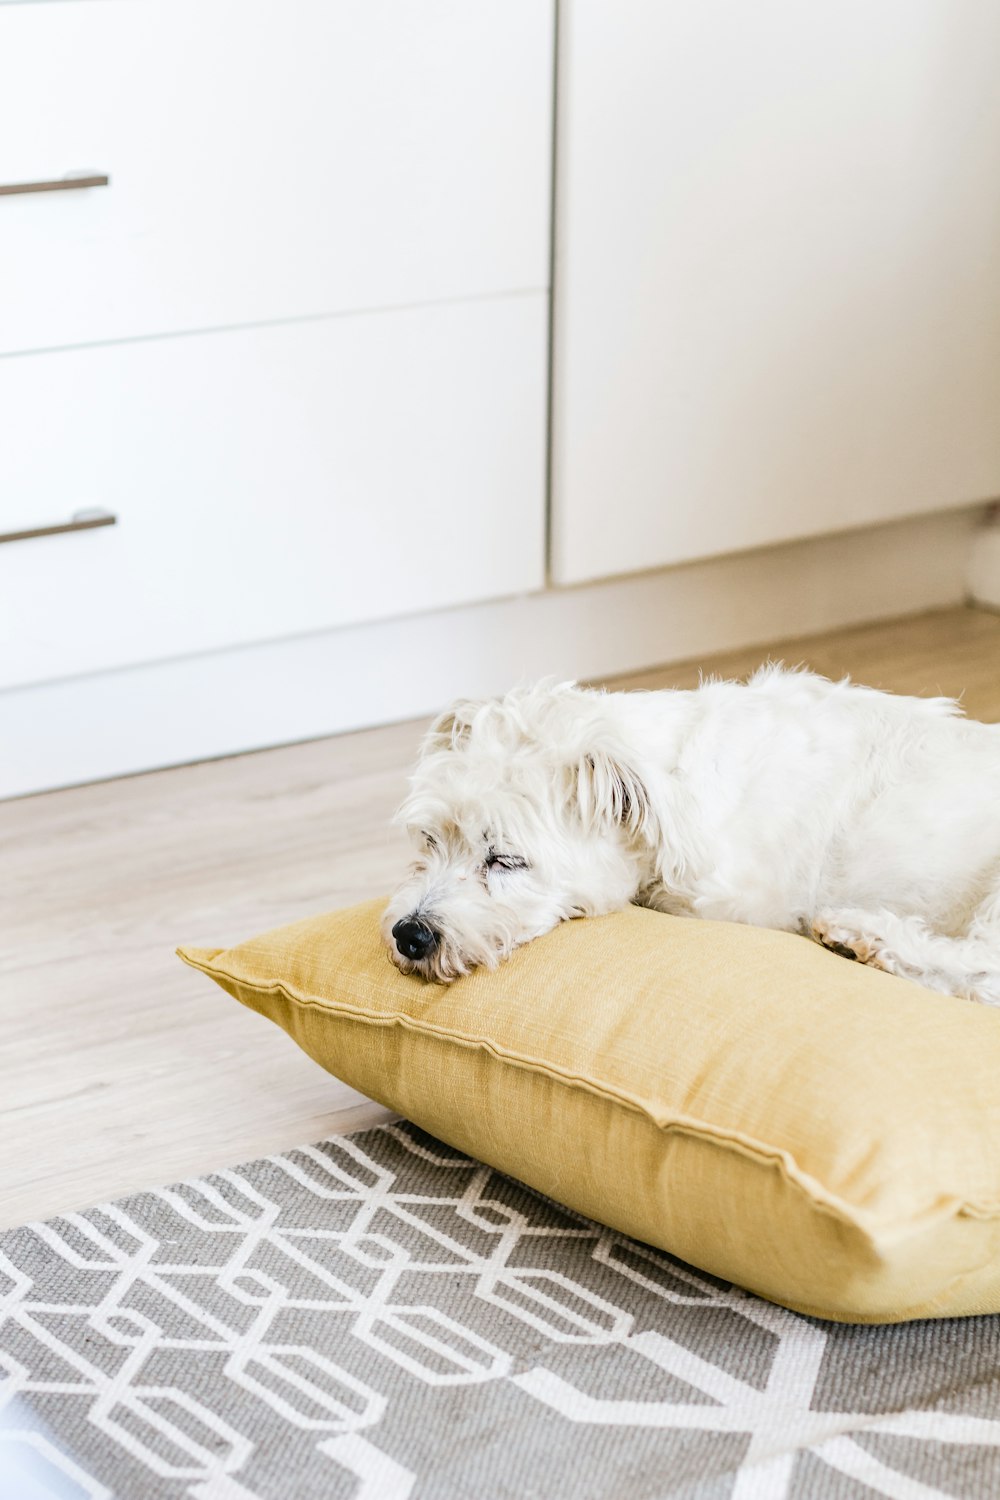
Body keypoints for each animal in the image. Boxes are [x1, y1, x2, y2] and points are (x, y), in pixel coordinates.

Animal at [380, 672, 1000, 1002]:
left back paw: (861, 933)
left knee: (980, 967)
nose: (410, 935)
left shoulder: (741, 904)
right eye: (430, 841)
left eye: (506, 860)